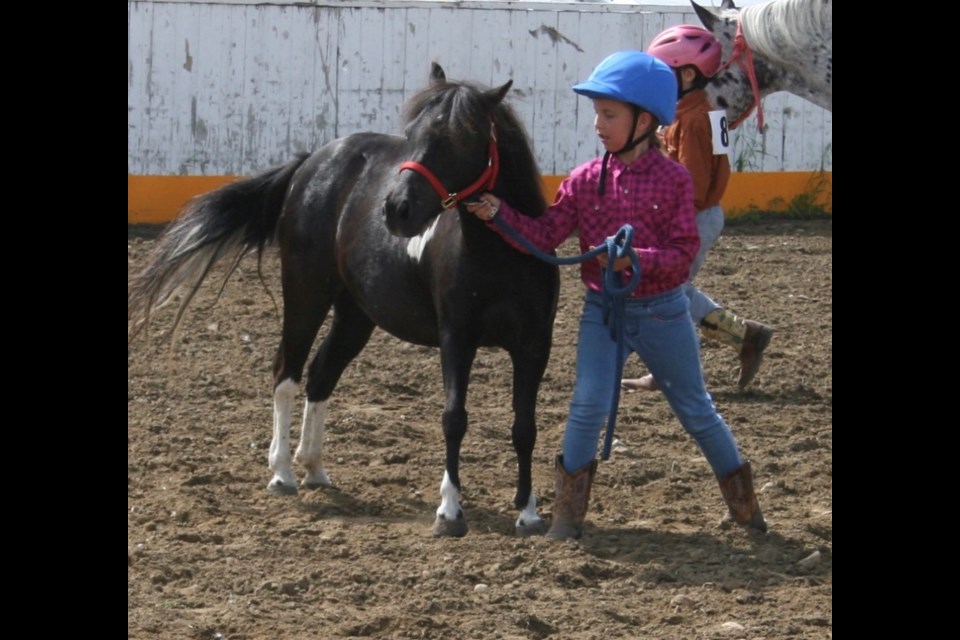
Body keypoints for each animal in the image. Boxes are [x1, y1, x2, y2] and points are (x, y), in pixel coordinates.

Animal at [129, 63, 564, 536]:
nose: (396, 209)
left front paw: (528, 512)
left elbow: (525, 426)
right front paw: (449, 510)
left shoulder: (534, 347)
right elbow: (454, 418)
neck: (501, 255)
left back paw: (314, 467)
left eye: (463, 137)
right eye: (412, 132)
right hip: (306, 293)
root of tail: (311, 163)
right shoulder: (456, 339)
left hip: (356, 314)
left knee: (321, 374)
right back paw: (282, 471)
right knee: (287, 370)